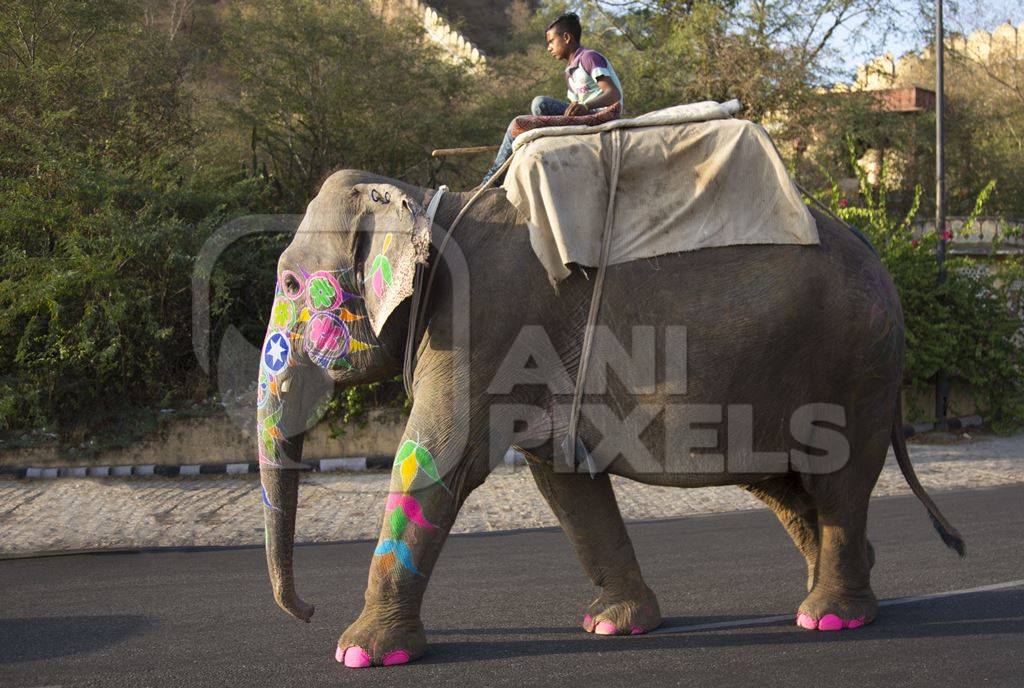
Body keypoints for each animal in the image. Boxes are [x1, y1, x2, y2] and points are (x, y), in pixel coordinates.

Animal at [253, 167, 958, 667]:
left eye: (288, 285)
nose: (307, 610)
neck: (427, 204)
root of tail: (874, 249)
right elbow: (563, 479)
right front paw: (611, 624)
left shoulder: (485, 324)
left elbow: (435, 457)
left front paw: (357, 653)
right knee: (783, 486)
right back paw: (840, 588)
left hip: (857, 368)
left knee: (836, 480)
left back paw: (831, 616)